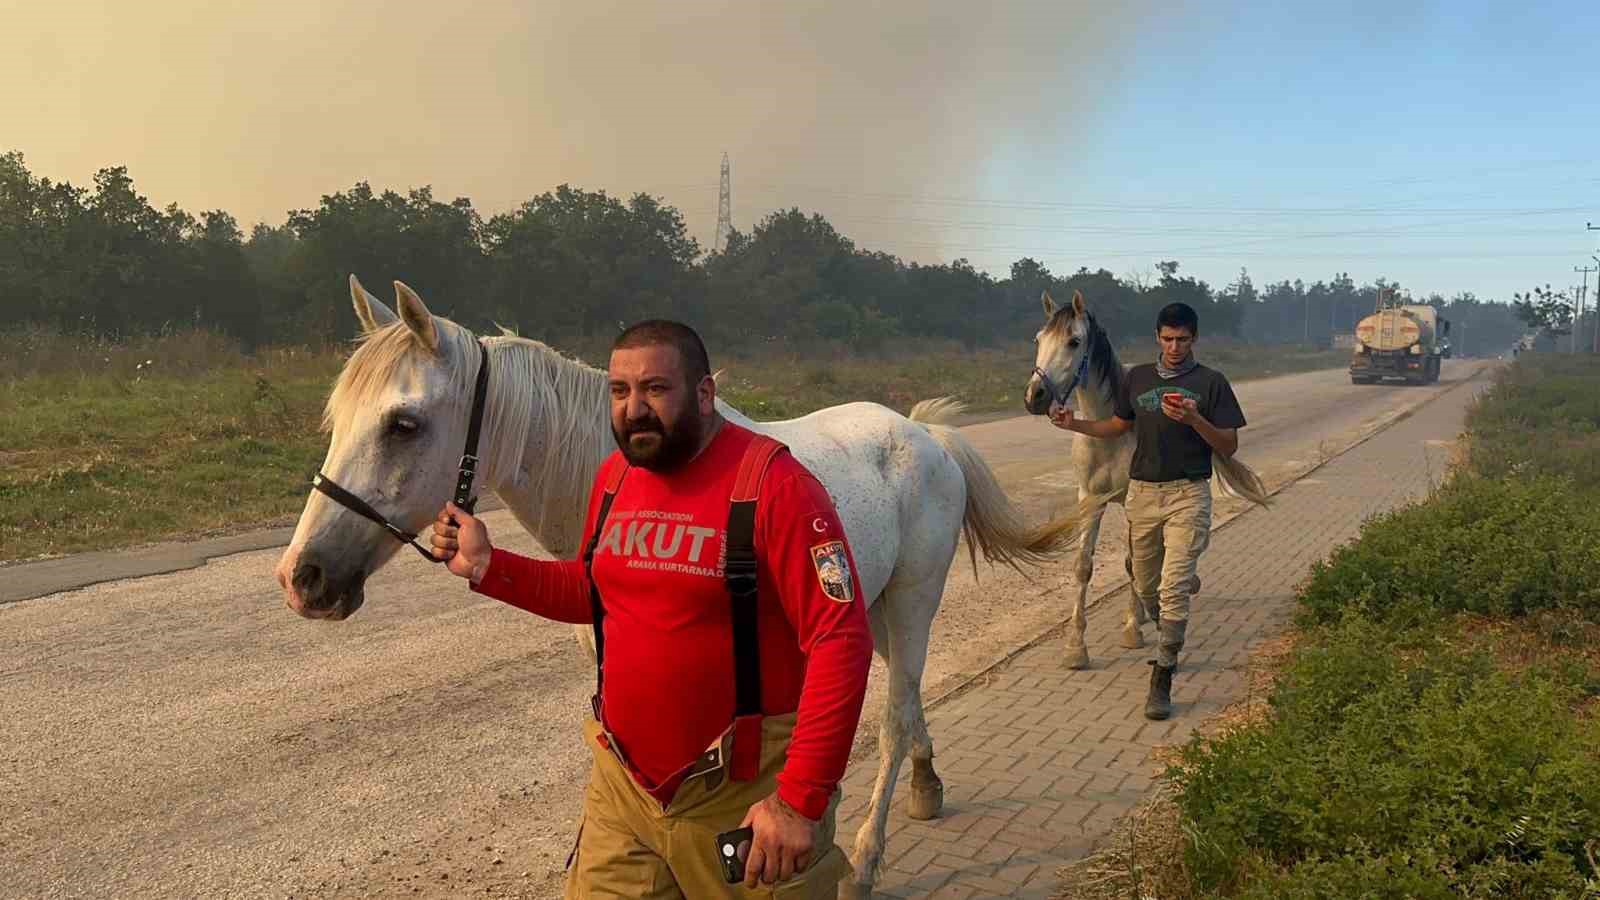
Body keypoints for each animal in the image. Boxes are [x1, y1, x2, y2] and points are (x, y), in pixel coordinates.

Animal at [1024, 291, 1260, 669]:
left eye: (1074, 341)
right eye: (1038, 340)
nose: (1035, 397)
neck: (1108, 436)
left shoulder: (1131, 501)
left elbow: (1134, 564)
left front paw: (1132, 629)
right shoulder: (1089, 500)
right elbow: (1083, 567)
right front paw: (1075, 648)